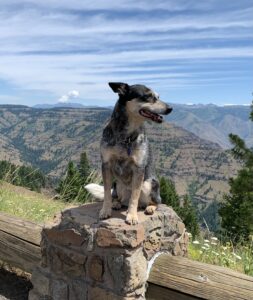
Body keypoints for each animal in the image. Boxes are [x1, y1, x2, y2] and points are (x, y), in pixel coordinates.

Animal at [86, 83, 173, 224]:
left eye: (158, 97)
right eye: (148, 96)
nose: (170, 108)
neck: (125, 137)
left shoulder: (139, 168)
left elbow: (135, 196)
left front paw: (131, 216)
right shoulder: (106, 165)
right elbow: (106, 192)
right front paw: (105, 210)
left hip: (149, 184)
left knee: (155, 202)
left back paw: (149, 208)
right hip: (118, 185)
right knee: (118, 198)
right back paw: (116, 203)